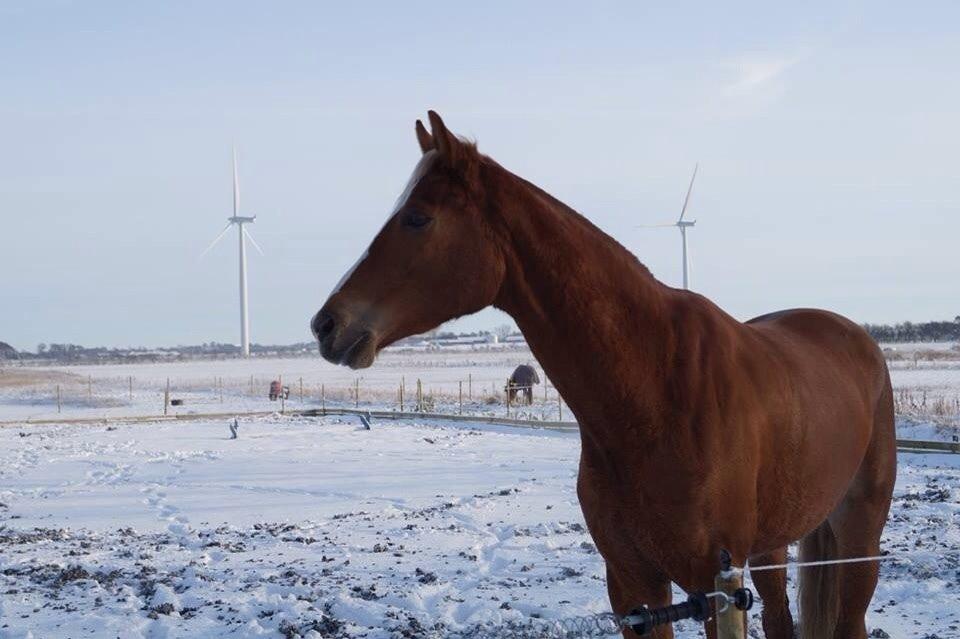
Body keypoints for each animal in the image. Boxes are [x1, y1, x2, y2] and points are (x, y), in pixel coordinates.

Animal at [312, 112, 896, 636]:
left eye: (417, 217)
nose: (325, 324)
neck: (656, 390)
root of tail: (856, 337)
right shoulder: (634, 587)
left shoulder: (715, 590)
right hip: (773, 547)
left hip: (858, 535)